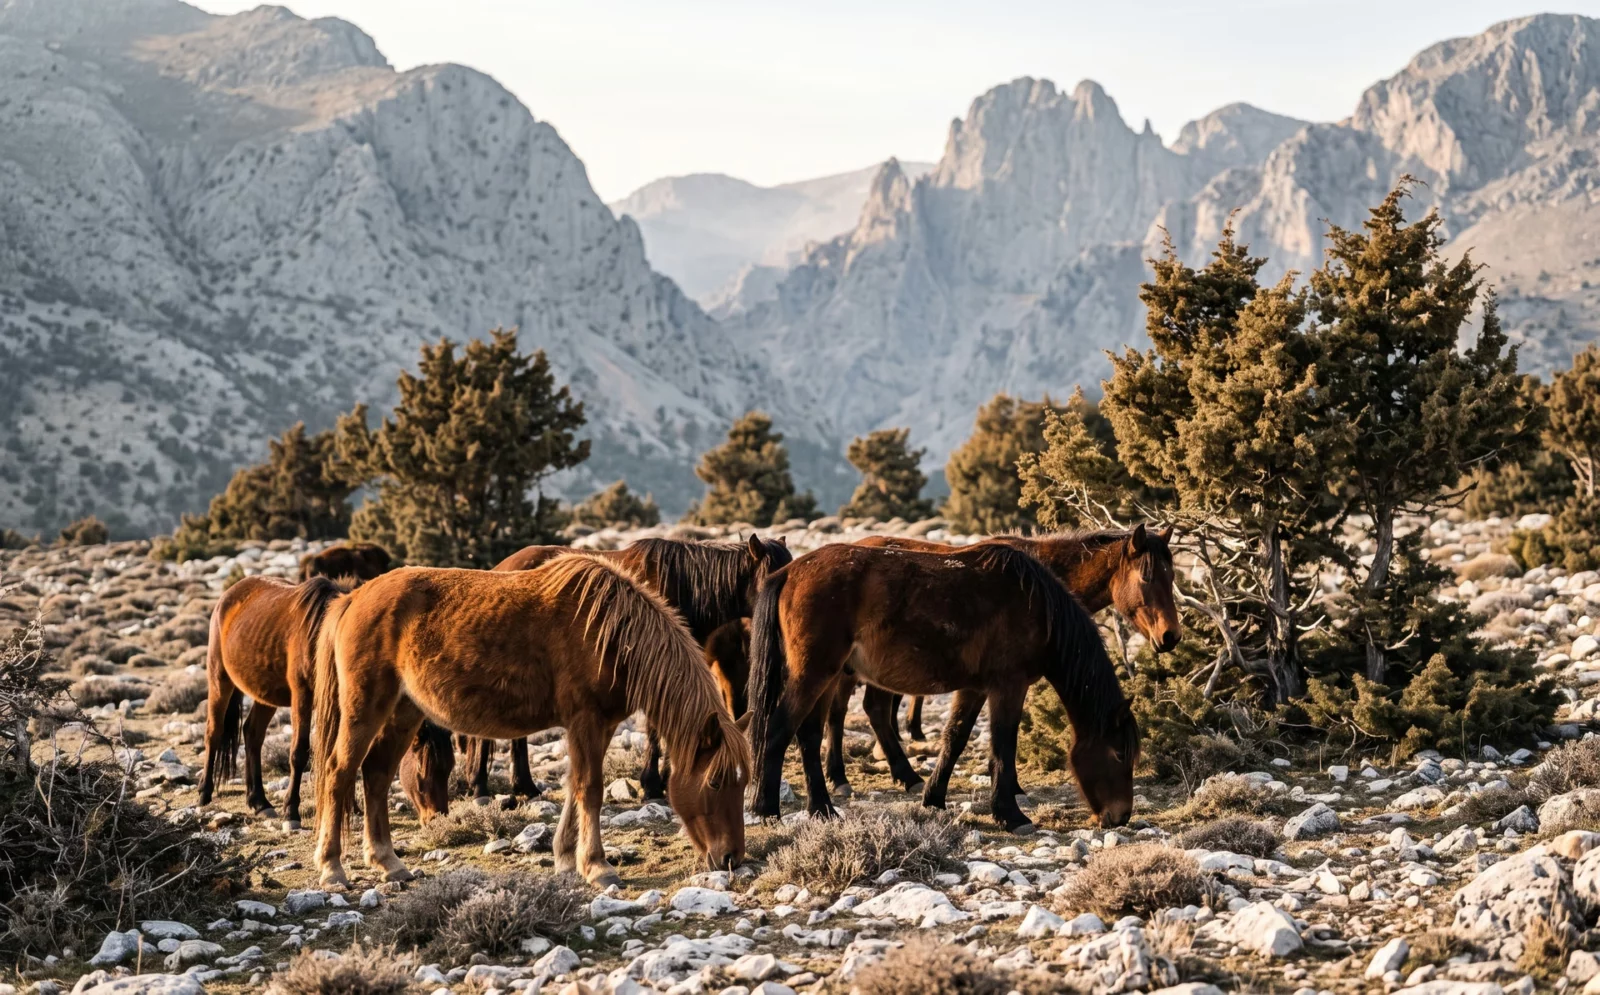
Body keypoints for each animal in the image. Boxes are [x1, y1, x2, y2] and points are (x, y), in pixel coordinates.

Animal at [308, 555, 752, 888]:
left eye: (743, 782)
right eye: (715, 782)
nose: (732, 858)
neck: (610, 633)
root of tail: (353, 599)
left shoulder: (599, 725)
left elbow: (576, 786)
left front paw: (567, 858)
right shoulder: (586, 721)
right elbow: (591, 789)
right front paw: (598, 867)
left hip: (404, 711)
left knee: (377, 775)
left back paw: (388, 862)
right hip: (365, 707)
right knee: (339, 772)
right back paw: (332, 867)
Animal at [477, 534, 787, 801]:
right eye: (773, 576)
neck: (683, 587)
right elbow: (655, 729)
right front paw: (652, 785)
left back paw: (523, 786)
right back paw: (482, 787)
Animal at [748, 542, 1139, 831]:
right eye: (1119, 754)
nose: (1120, 817)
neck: (1036, 605)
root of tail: (789, 572)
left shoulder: (975, 689)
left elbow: (955, 738)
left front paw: (934, 798)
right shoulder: (1008, 687)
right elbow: (1003, 746)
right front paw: (1010, 814)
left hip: (826, 678)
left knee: (810, 736)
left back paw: (823, 809)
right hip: (814, 675)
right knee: (778, 731)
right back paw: (767, 810)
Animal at [825, 525, 1177, 794]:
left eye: (1171, 577)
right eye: (1146, 577)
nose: (1171, 636)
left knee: (870, 710)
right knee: (846, 711)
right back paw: (849, 776)